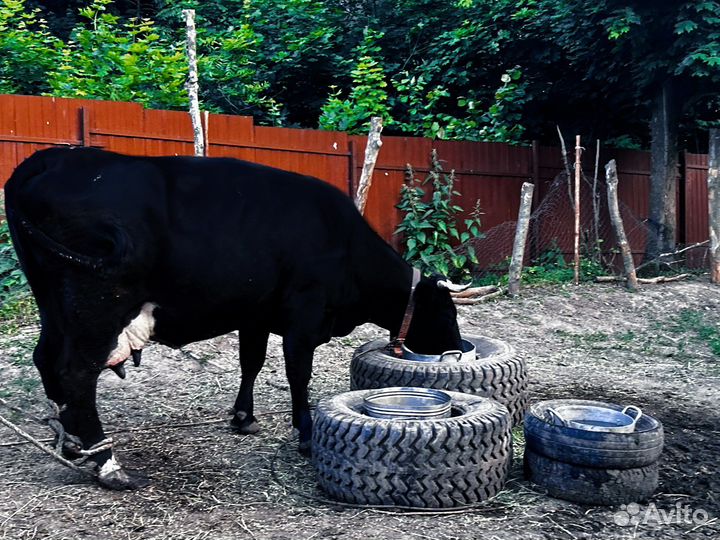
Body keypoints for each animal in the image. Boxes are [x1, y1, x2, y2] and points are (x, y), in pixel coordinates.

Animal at [3, 147, 466, 490]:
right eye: (446, 310)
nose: (460, 349)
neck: (343, 243)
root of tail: (49, 158)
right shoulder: (303, 319)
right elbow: (298, 375)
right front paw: (305, 433)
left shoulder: (255, 314)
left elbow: (251, 362)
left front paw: (243, 417)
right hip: (97, 305)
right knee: (77, 372)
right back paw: (107, 463)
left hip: (54, 304)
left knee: (46, 360)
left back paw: (71, 443)